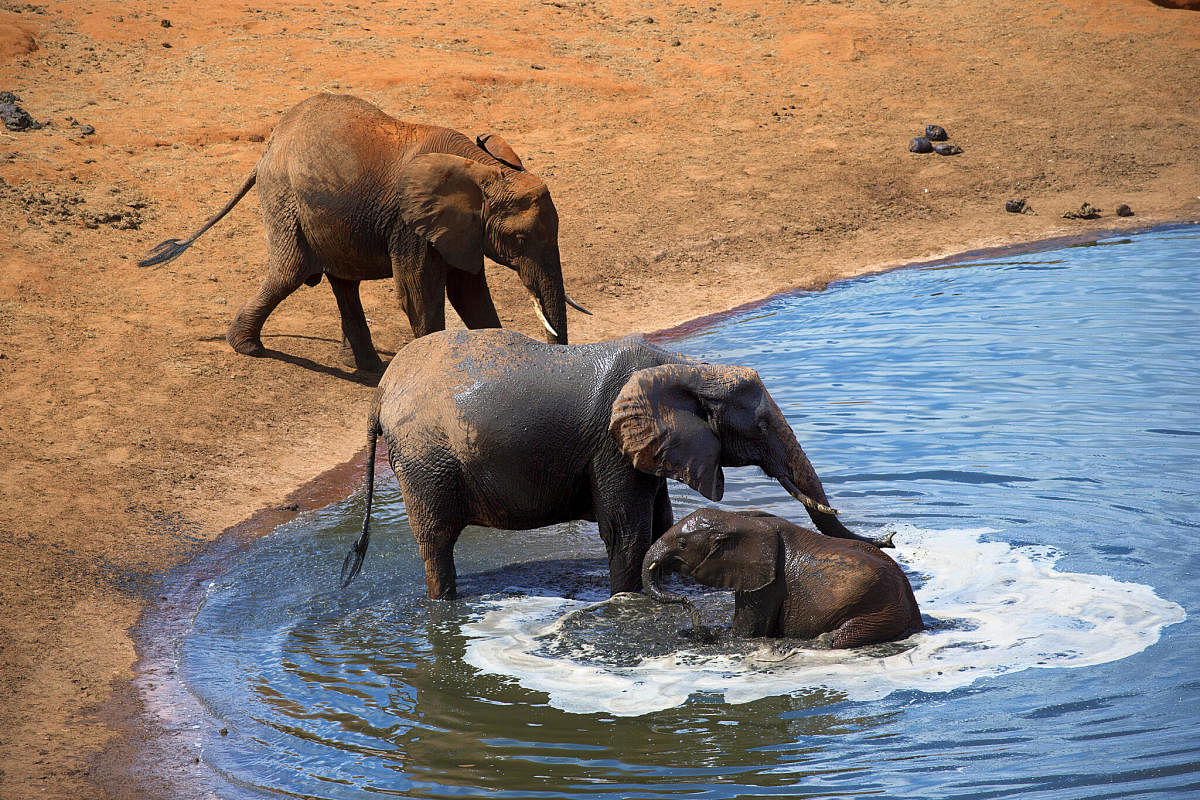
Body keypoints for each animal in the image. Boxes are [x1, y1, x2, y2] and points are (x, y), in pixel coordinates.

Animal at [138, 92, 588, 369]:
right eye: (518, 239)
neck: (484, 166)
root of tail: (269, 145)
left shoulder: (462, 229)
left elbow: (468, 292)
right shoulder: (411, 224)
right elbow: (419, 296)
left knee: (342, 282)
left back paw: (364, 365)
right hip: (284, 197)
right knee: (290, 273)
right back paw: (250, 348)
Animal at [643, 510, 921, 647]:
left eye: (681, 544)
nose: (698, 628)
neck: (743, 520)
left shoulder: (767, 582)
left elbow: (747, 633)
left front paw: (720, 636)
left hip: (882, 609)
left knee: (839, 639)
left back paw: (823, 640)